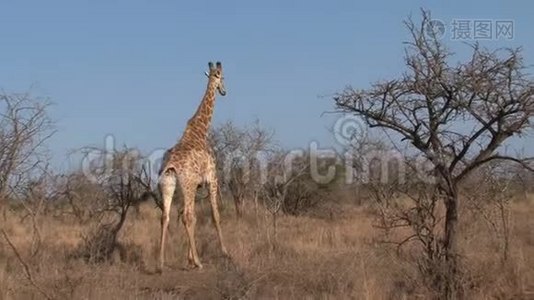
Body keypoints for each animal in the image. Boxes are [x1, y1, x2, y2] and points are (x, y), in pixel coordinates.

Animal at [157, 61, 228, 272]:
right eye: (221, 76)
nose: (224, 91)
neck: (200, 130)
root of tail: (170, 166)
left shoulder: (196, 186)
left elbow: (194, 217)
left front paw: (188, 258)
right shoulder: (212, 178)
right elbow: (215, 215)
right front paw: (225, 252)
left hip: (169, 185)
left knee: (166, 217)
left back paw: (161, 264)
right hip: (186, 185)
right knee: (186, 216)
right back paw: (199, 262)